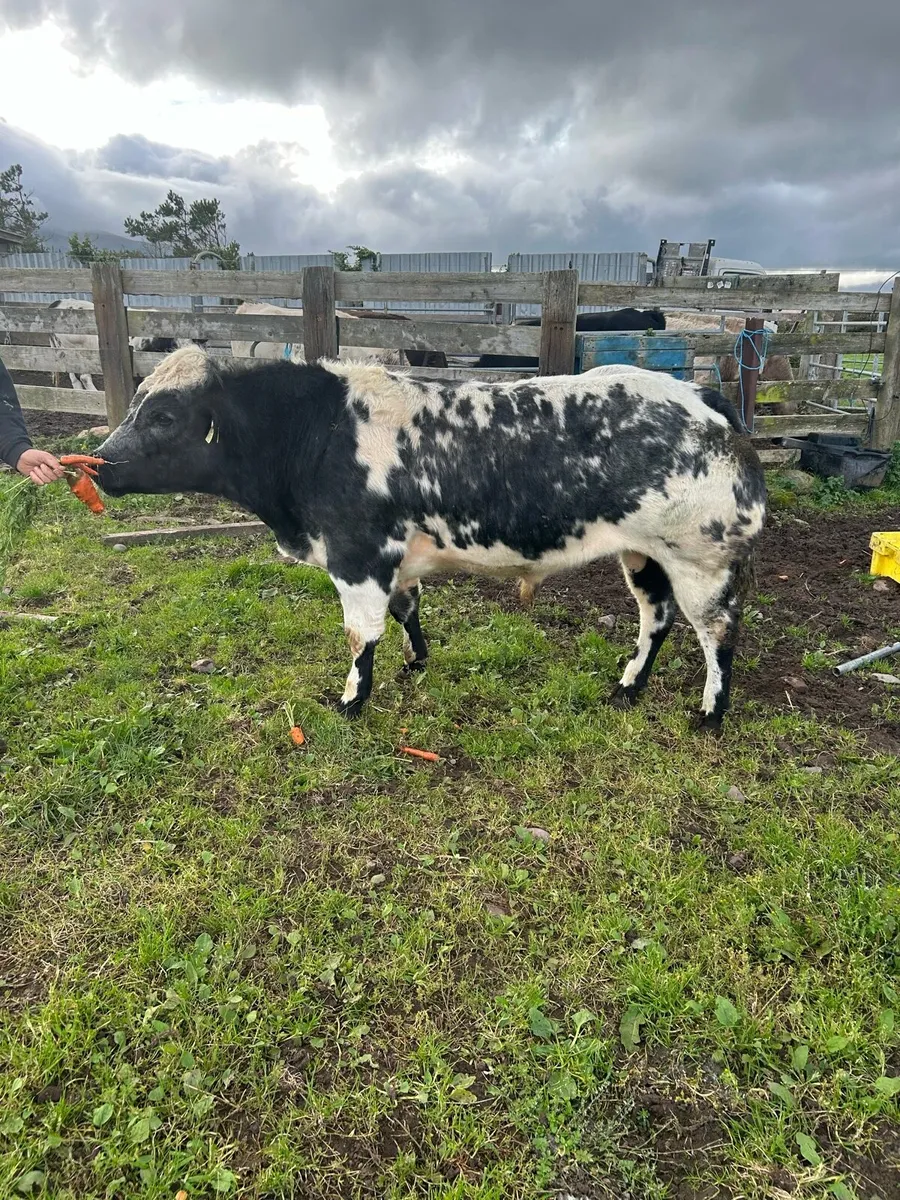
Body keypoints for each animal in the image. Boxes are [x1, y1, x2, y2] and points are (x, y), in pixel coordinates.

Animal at [94, 349, 766, 734]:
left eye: (163, 416)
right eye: (137, 402)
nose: (99, 463)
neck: (317, 431)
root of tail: (701, 397)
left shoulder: (357, 558)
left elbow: (361, 635)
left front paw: (353, 699)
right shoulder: (395, 561)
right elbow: (406, 610)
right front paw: (416, 660)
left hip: (701, 562)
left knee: (717, 633)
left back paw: (710, 713)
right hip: (643, 554)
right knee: (656, 618)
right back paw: (629, 684)